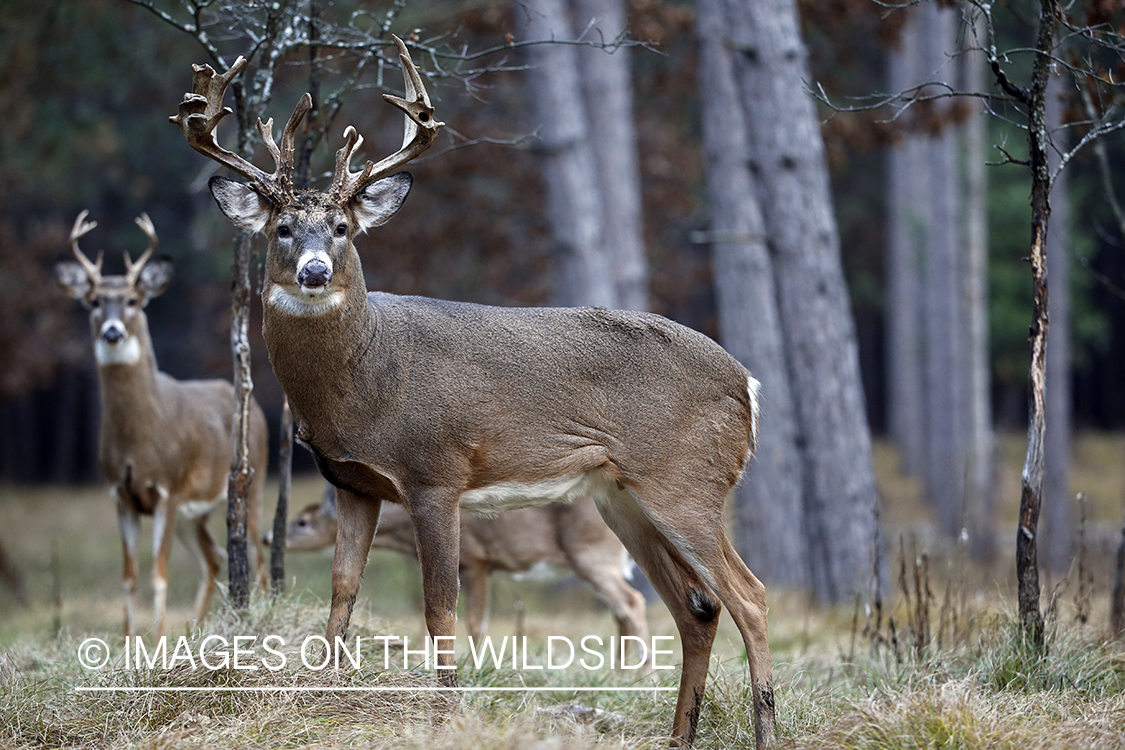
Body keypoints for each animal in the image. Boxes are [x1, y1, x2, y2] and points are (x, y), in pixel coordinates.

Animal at [56, 212, 270, 638]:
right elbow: (129, 577)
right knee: (214, 557)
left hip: (252, 483)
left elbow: (159, 574)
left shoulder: (167, 489)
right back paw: (193, 630)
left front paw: (155, 642)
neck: (139, 438)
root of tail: (254, 407)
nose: (113, 332)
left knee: (260, 558)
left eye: (133, 300)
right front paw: (127, 642)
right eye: (94, 301)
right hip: (196, 513)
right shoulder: (120, 493)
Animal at [272, 488, 648, 647]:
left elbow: (475, 623)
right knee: (621, 612)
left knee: (633, 603)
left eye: (303, 522)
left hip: (593, 555)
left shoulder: (475, 560)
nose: (266, 537)